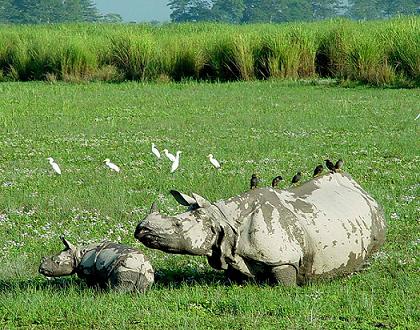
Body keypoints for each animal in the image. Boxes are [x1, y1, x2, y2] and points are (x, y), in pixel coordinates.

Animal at [135, 173, 388, 286]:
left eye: (177, 225)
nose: (141, 230)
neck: (221, 219)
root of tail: (359, 186)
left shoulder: (283, 256)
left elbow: (284, 279)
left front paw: (287, 288)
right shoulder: (230, 249)